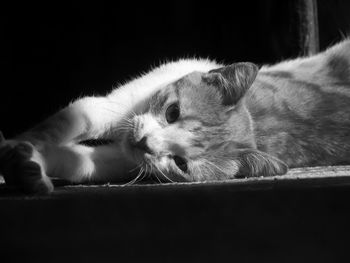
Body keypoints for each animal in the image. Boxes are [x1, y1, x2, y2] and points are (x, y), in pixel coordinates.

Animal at [0, 40, 350, 195]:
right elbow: (68, 123)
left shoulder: (121, 162)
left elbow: (78, 162)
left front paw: (30, 170)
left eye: (181, 163)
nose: (144, 142)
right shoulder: (110, 106)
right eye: (173, 112)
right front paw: (16, 148)